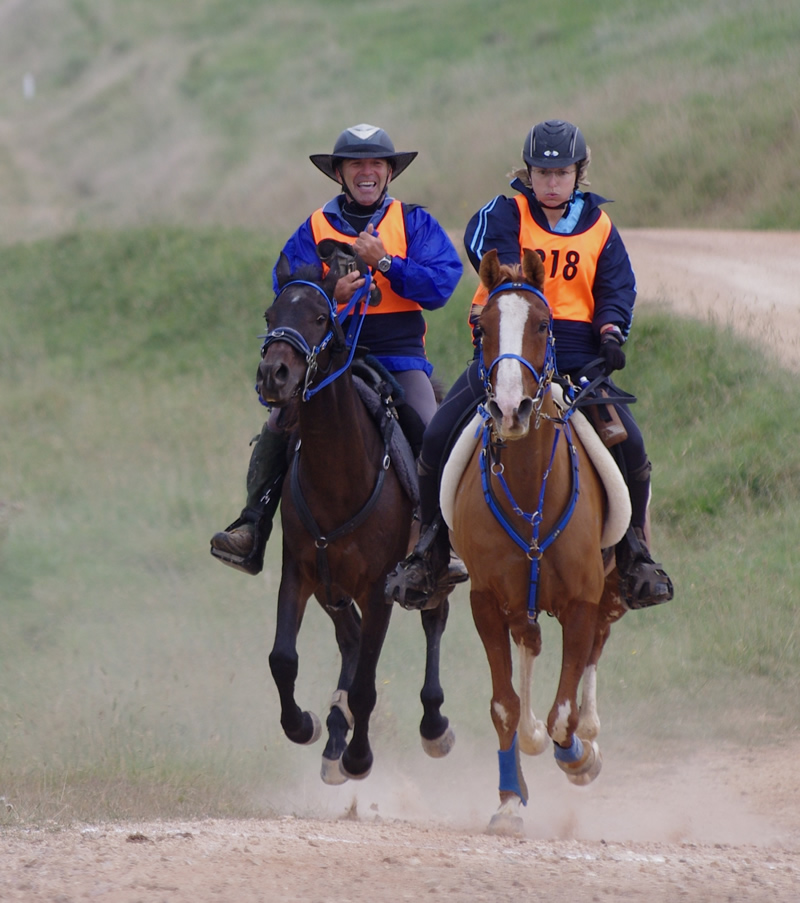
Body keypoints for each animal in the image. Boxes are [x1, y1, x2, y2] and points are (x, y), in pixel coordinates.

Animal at [256, 246, 454, 784]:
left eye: (321, 318)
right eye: (271, 316)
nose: (273, 376)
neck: (338, 475)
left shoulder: (380, 587)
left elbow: (367, 685)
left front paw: (360, 757)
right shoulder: (299, 572)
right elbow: (282, 658)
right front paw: (303, 725)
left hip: (425, 575)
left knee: (434, 620)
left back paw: (432, 725)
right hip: (332, 588)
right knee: (348, 639)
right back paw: (332, 734)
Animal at [448, 248, 627, 836]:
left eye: (544, 324)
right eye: (482, 328)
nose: (510, 409)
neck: (530, 488)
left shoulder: (582, 600)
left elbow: (562, 714)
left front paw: (578, 757)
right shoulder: (485, 600)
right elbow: (505, 706)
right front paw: (509, 801)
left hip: (610, 586)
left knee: (597, 644)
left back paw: (587, 740)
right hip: (519, 601)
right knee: (528, 646)